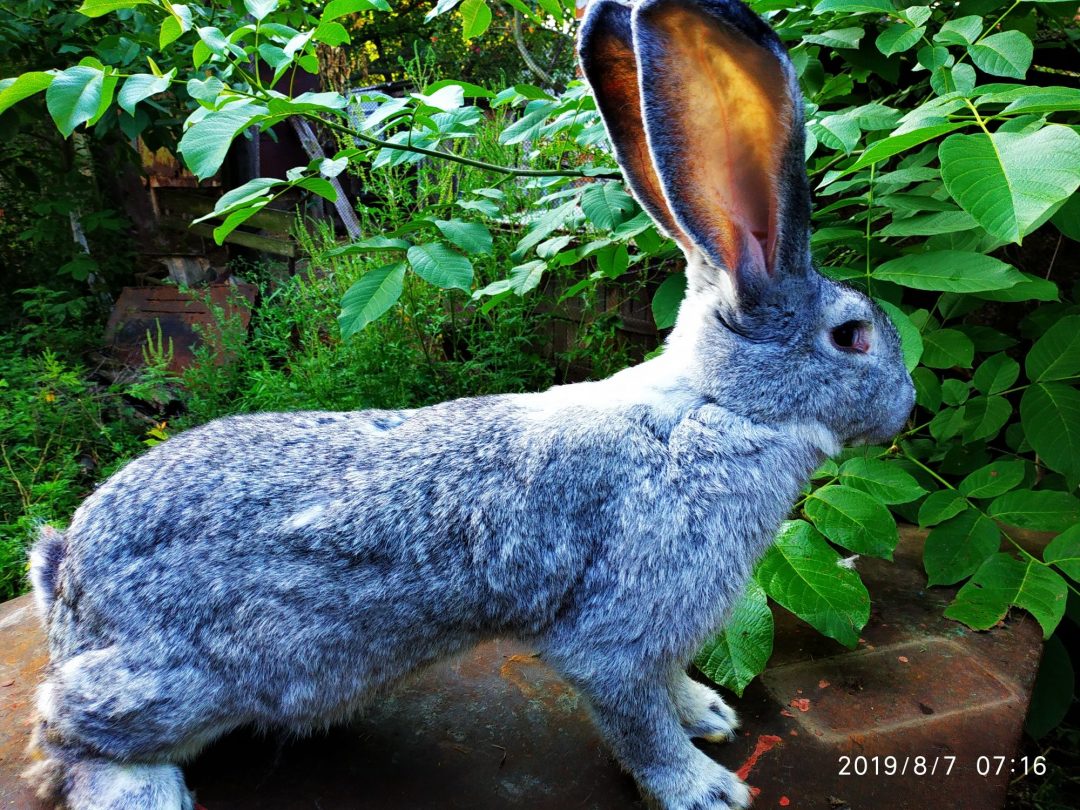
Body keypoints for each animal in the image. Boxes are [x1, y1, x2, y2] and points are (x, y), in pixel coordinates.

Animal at [23, 1, 911, 810]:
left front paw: (710, 715)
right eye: (853, 336)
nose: (904, 403)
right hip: (194, 681)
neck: (718, 406)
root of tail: (65, 576)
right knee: (65, 729)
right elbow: (637, 718)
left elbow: (668, 691)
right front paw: (705, 788)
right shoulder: (619, 629)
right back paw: (140, 791)